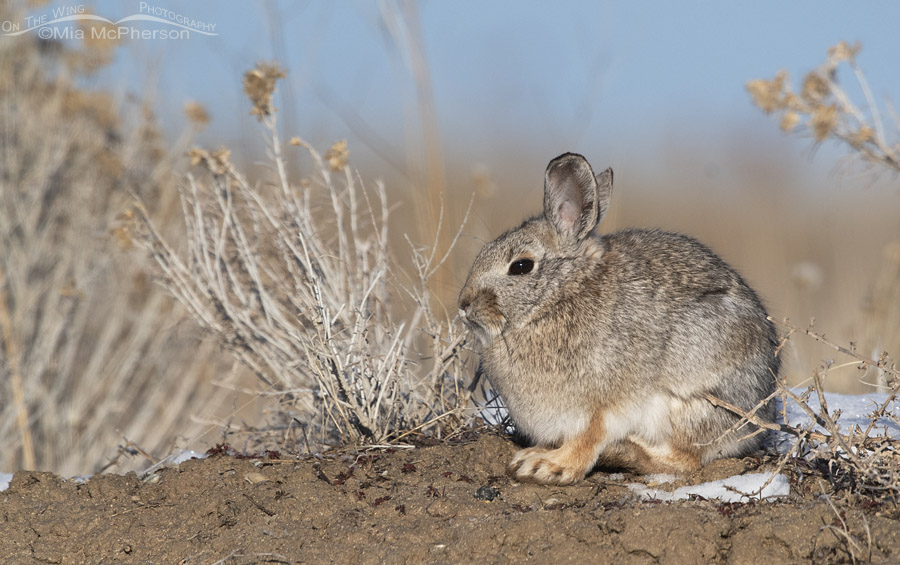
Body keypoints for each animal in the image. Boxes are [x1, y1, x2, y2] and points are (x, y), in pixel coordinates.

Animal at [460, 152, 776, 482]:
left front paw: (549, 466)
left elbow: (589, 438)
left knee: (685, 460)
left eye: (521, 266)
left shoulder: (602, 404)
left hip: (689, 403)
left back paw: (622, 451)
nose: (464, 304)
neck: (560, 296)